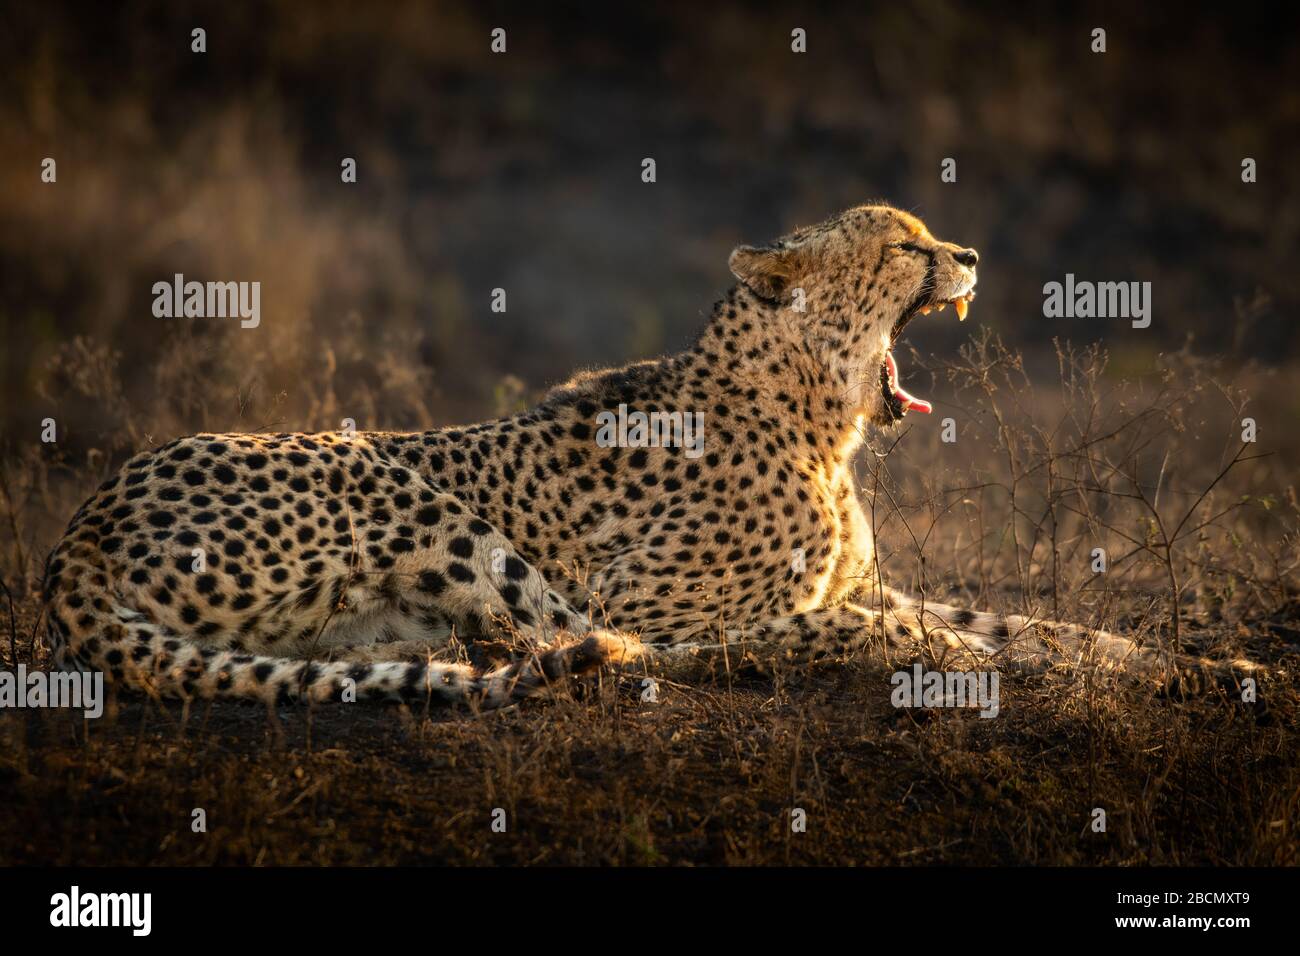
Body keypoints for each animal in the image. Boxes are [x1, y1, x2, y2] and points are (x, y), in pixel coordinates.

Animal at [43, 204, 1258, 712]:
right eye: (902, 242)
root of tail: (79, 531)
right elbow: (916, 634)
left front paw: (1206, 667)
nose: (966, 254)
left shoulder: (867, 581)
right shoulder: (667, 597)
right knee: (582, 641)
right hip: (392, 481)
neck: (815, 418)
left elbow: (1030, 624)